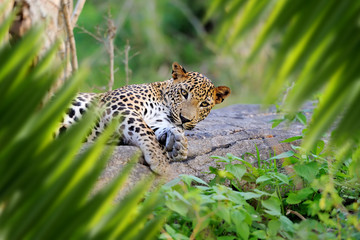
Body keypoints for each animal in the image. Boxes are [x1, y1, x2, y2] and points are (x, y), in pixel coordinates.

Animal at [57, 62, 229, 175]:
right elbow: (144, 129)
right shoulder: (118, 106)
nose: (184, 119)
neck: (164, 104)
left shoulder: (155, 121)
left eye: (204, 104)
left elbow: (155, 129)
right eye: (183, 92)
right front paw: (160, 161)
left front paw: (179, 142)